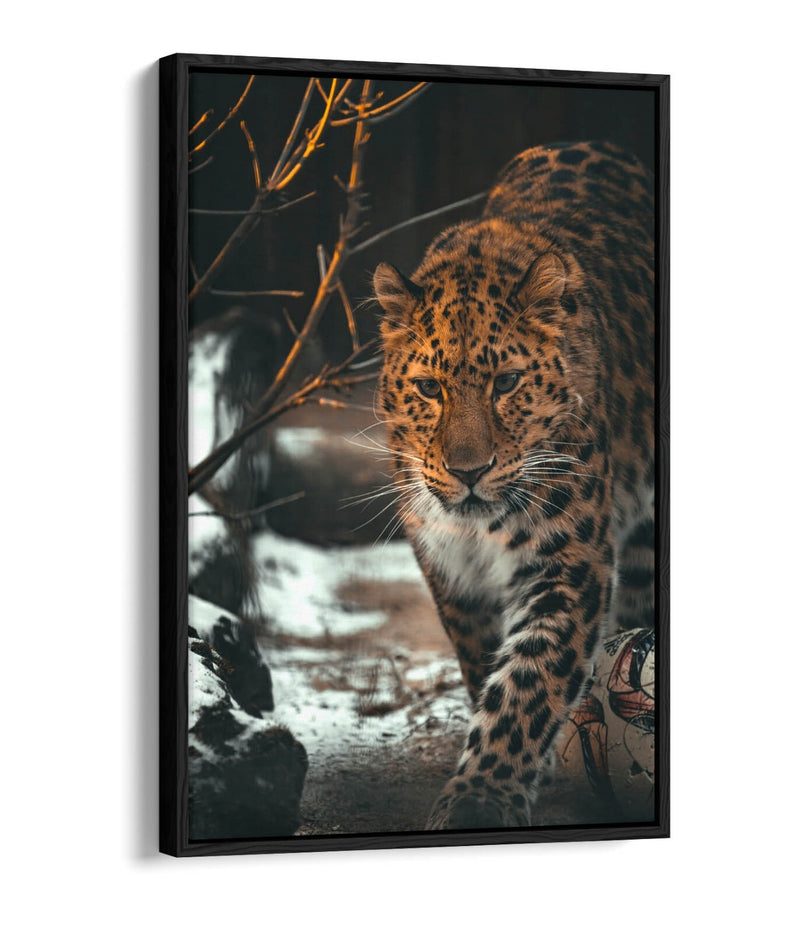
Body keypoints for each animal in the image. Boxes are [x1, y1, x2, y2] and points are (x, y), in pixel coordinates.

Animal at [372, 141, 655, 831]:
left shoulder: (568, 560)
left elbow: (531, 680)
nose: (468, 471)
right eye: (430, 388)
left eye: (505, 383)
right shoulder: (449, 566)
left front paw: (482, 797)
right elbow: (486, 663)